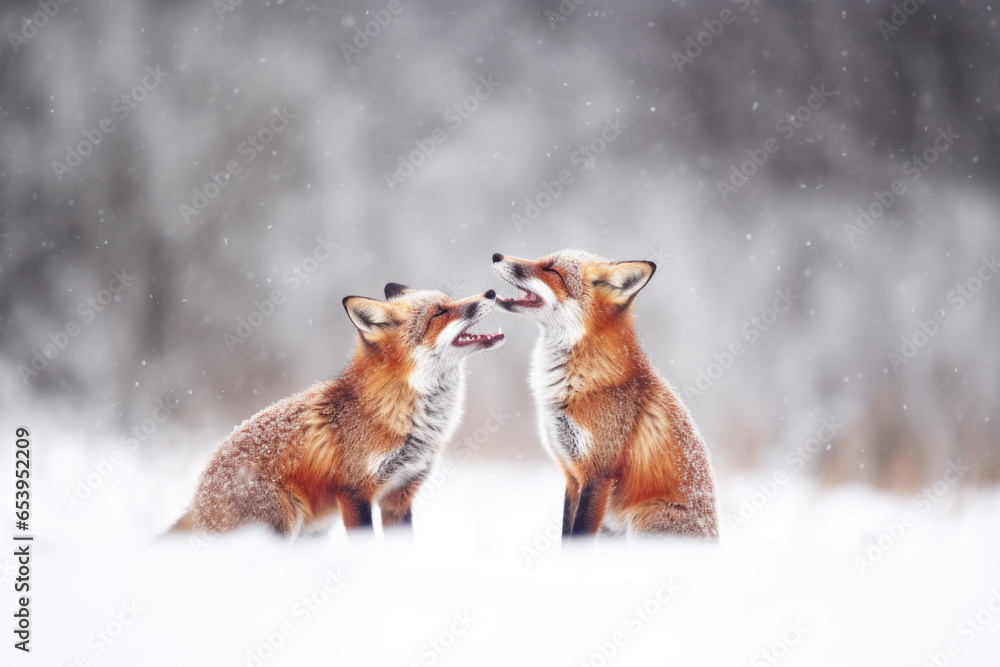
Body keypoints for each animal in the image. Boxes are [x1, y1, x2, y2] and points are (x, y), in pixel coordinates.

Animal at [172, 284, 504, 540]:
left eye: (449, 302)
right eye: (439, 313)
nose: (490, 292)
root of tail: (199, 495)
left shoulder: (400, 493)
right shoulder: (354, 491)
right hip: (280, 524)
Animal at [492, 248, 720, 540]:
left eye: (551, 270)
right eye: (542, 260)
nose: (497, 255)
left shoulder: (597, 474)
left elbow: (578, 537)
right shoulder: (571, 474)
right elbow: (566, 535)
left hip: (643, 523)